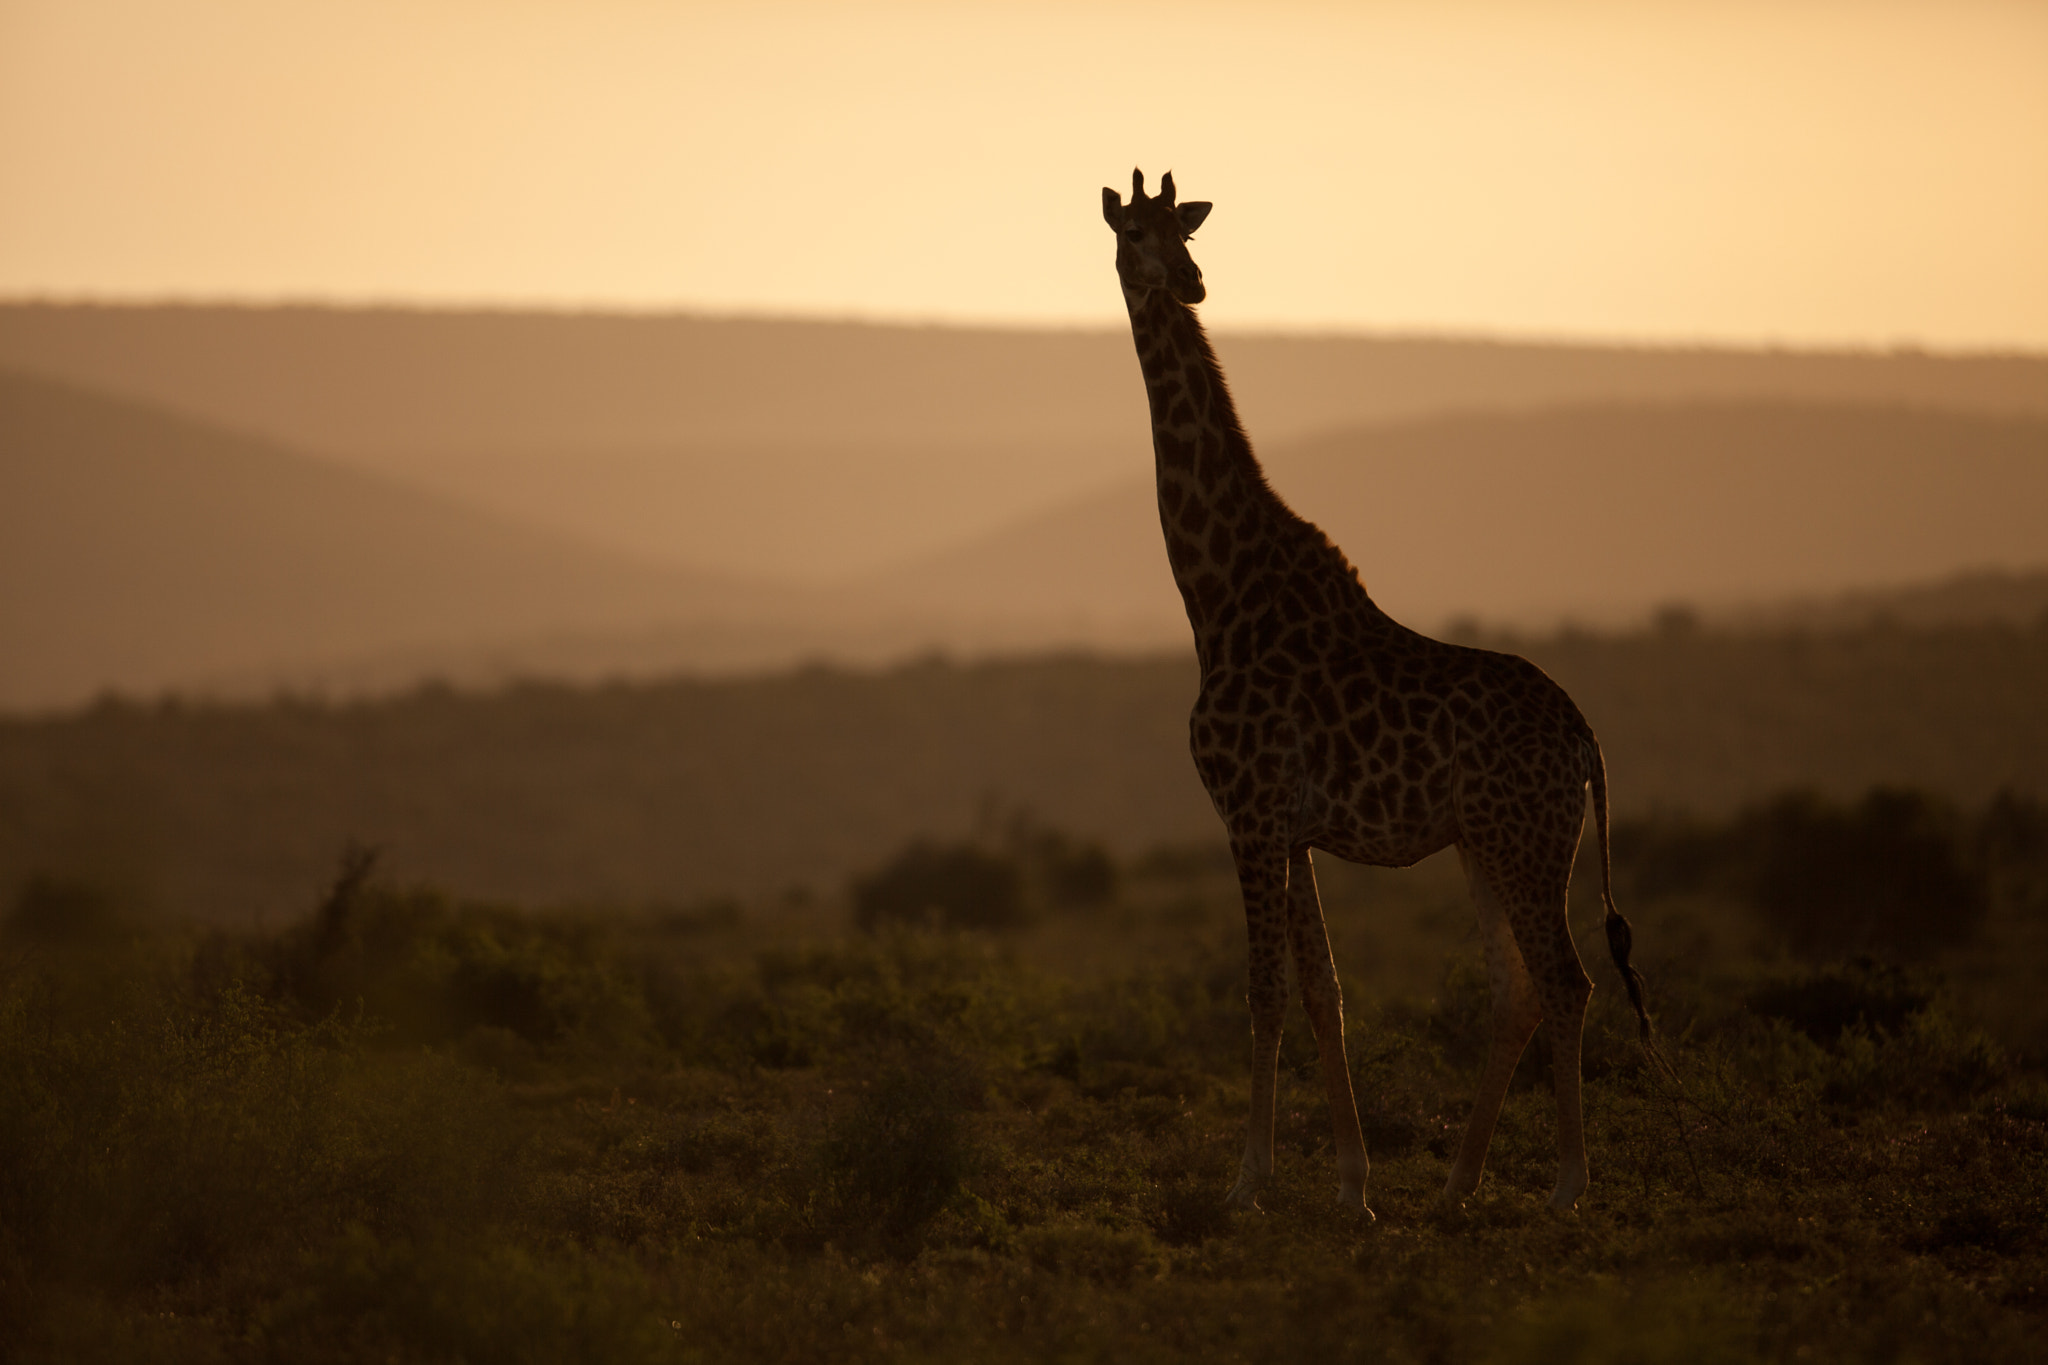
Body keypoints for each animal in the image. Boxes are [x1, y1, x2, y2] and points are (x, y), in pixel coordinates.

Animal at [1097, 167, 1654, 1219]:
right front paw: (1354, 1185)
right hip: (1488, 844)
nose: (1190, 282)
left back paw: (1567, 1187)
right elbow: (1325, 990)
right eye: (1134, 233)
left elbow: (1265, 989)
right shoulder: (1291, 825)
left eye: (1181, 232)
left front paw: (1250, 1180)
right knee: (1516, 989)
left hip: (1526, 842)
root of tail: (1588, 739)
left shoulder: (1249, 812)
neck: (1217, 594)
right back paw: (1455, 1187)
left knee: (1566, 981)